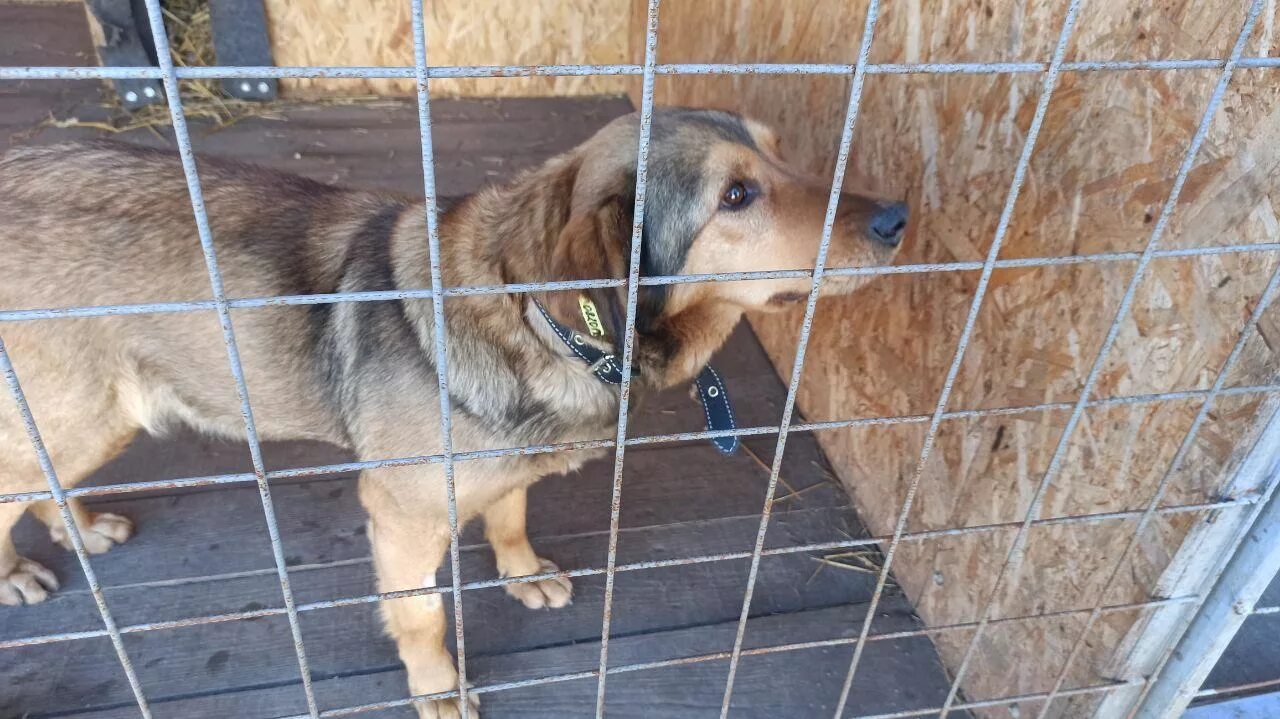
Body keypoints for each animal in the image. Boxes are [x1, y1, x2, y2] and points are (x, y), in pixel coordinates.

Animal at [0, 107, 906, 716]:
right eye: (738, 194)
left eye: (783, 156)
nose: (901, 216)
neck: (536, 321)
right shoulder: (400, 515)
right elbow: (422, 613)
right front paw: (436, 688)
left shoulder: (508, 467)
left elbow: (508, 512)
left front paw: (520, 570)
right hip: (79, 411)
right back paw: (16, 570)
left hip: (89, 422)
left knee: (43, 480)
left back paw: (81, 528)